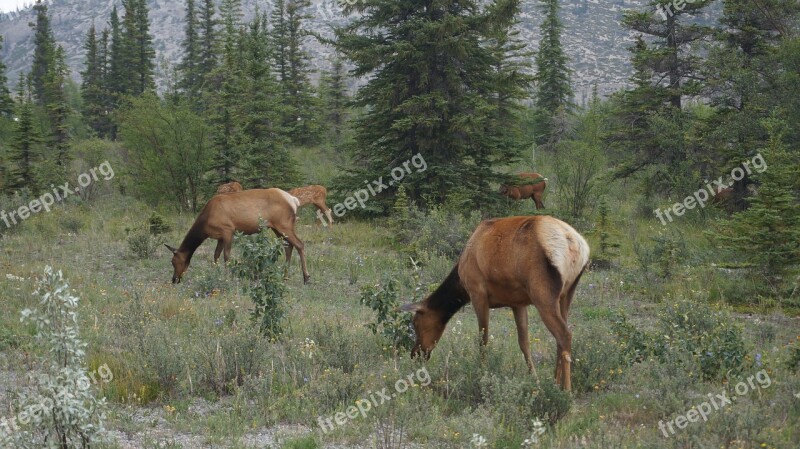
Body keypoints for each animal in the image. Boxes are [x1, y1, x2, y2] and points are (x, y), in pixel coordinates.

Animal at [165, 189, 310, 284]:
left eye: (173, 261)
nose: (174, 279)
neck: (205, 223)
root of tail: (294, 201)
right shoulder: (220, 237)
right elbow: (216, 255)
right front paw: (216, 274)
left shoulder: (228, 230)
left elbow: (226, 256)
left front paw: (227, 277)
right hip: (277, 228)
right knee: (288, 246)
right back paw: (285, 277)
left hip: (284, 224)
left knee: (299, 244)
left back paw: (306, 278)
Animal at [404, 215, 592, 390]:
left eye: (415, 322)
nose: (415, 353)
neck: (461, 281)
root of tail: (575, 244)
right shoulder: (518, 303)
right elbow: (524, 343)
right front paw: (535, 380)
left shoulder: (477, 293)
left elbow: (483, 340)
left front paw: (482, 374)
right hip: (567, 293)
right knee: (561, 336)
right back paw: (554, 382)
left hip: (543, 294)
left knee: (564, 334)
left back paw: (565, 389)